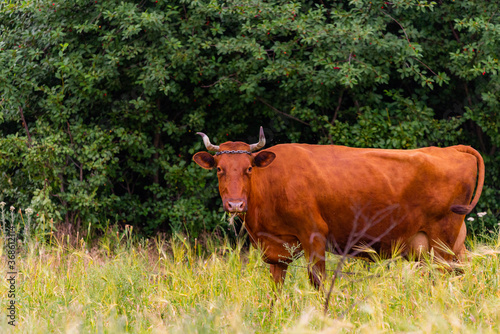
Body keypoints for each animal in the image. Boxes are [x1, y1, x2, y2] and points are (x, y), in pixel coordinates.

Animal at [192, 126, 484, 288]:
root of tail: (452, 149)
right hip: (450, 243)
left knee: (449, 275)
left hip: (443, 239)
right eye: (219, 169)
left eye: (249, 168)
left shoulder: (314, 235)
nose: (235, 204)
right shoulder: (276, 249)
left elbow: (317, 281)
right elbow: (276, 287)